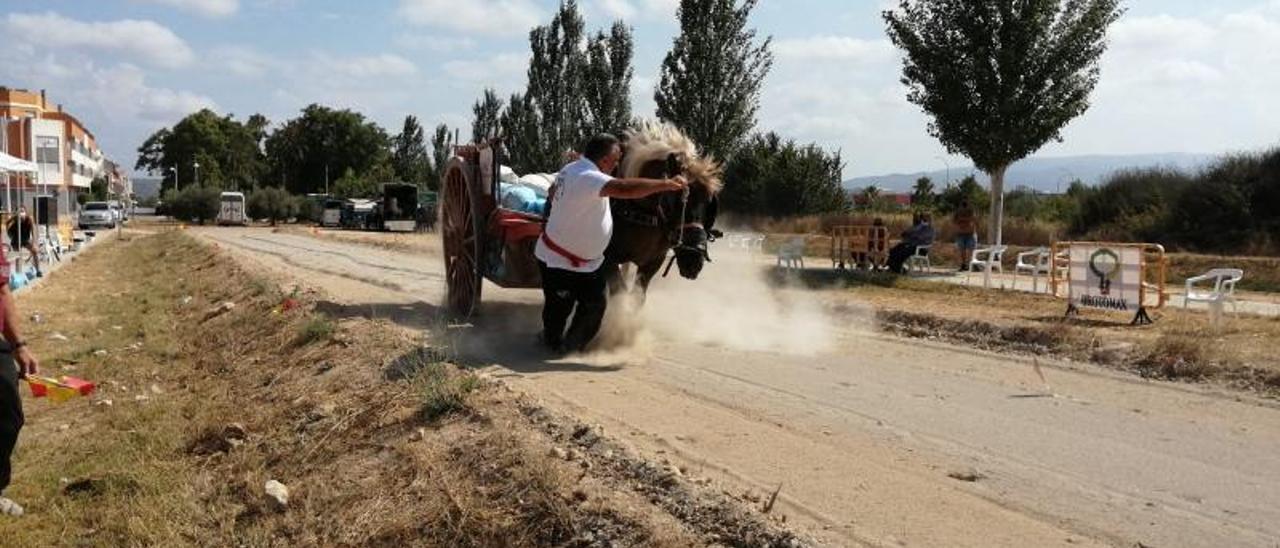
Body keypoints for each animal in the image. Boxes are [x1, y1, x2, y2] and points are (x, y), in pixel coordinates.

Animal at [599, 120, 721, 303]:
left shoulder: (653, 262)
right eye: (679, 197)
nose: (694, 259)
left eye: (709, 203)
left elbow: (637, 297)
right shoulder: (607, 258)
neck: (643, 213)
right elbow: (619, 292)